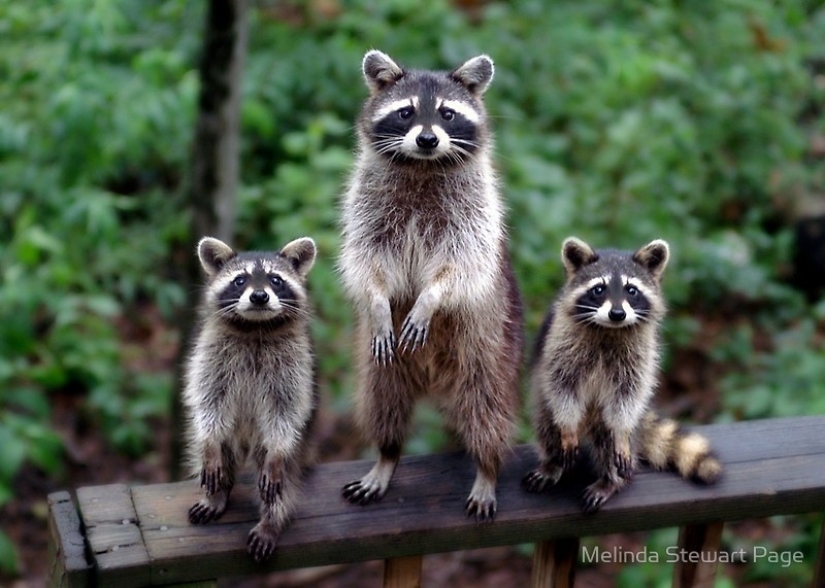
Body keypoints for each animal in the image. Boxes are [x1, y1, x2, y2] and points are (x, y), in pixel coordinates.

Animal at [183, 236, 318, 561]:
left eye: (276, 279)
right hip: (228, 438)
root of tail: (245, 444)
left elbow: (286, 411)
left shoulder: (294, 367)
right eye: (240, 280)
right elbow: (208, 402)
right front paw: (210, 448)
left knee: (282, 479)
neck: (256, 327)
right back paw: (216, 494)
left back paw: (271, 520)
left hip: (283, 446)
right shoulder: (211, 357)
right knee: (213, 451)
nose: (259, 297)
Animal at [338, 50, 524, 521]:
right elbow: (365, 261)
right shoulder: (367, 205)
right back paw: (386, 456)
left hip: (489, 347)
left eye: (447, 113)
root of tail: (434, 378)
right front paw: (378, 301)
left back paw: (488, 468)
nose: (426, 140)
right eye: (406, 112)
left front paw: (430, 298)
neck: (422, 166)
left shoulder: (474, 212)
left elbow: (462, 265)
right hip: (382, 366)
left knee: (485, 409)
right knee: (382, 401)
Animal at [523, 237, 721, 512]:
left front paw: (620, 435)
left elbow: (628, 395)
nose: (617, 314)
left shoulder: (639, 356)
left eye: (631, 290)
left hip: (607, 419)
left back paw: (611, 480)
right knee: (547, 423)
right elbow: (561, 386)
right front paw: (567, 428)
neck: (609, 329)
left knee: (609, 438)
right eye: (598, 289)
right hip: (545, 405)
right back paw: (554, 462)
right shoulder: (560, 343)